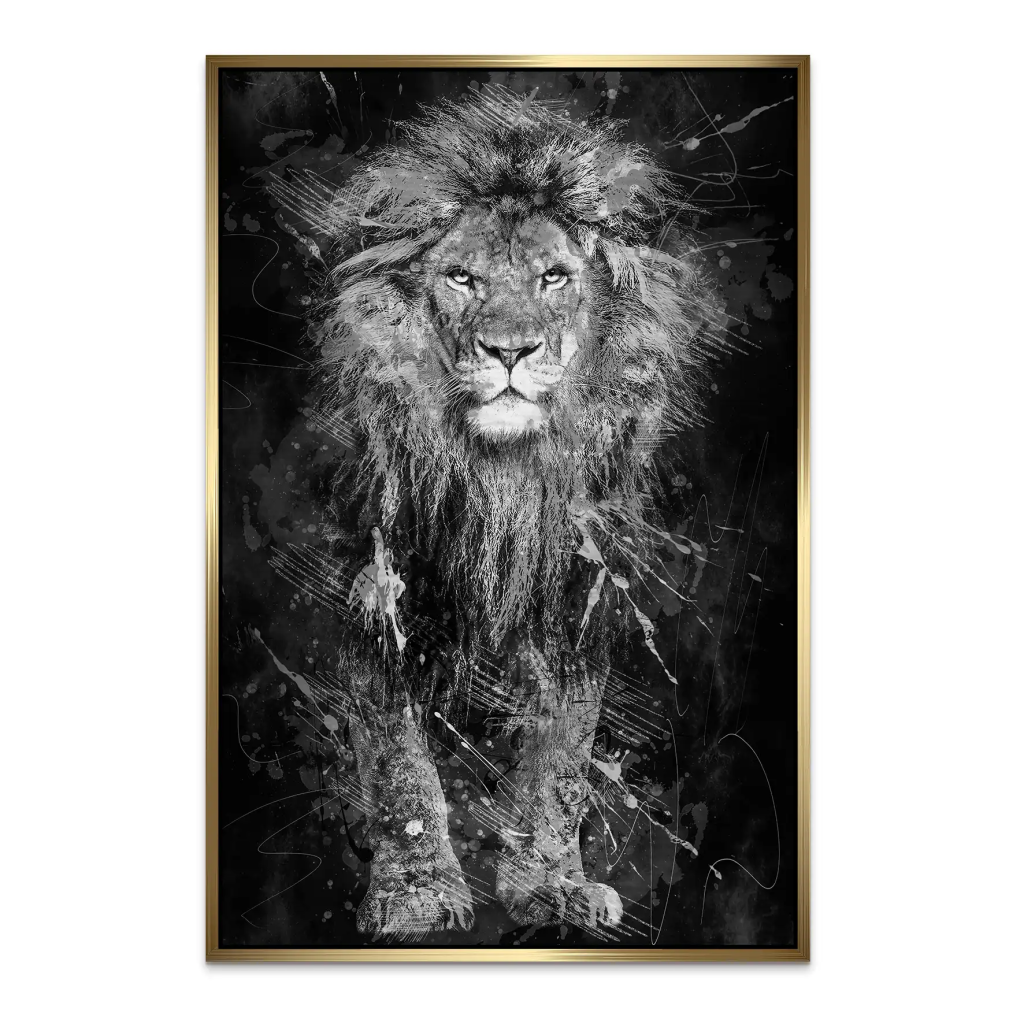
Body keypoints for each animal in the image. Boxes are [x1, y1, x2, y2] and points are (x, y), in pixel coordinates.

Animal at [269, 85, 720, 941]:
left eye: (554, 278)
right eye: (460, 278)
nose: (510, 351)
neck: (500, 480)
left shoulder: (576, 595)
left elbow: (563, 761)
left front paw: (554, 886)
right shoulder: (378, 591)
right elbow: (401, 766)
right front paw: (416, 895)